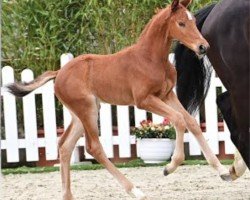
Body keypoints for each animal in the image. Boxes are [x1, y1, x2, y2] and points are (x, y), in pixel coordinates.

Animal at [6, 0, 231, 199]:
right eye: (181, 23)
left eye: (193, 21)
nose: (203, 47)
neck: (150, 58)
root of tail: (59, 72)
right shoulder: (144, 100)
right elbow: (178, 119)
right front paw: (170, 167)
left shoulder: (167, 95)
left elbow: (191, 122)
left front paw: (222, 171)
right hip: (87, 110)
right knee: (93, 147)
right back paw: (135, 190)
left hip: (81, 113)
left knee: (65, 145)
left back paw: (68, 195)